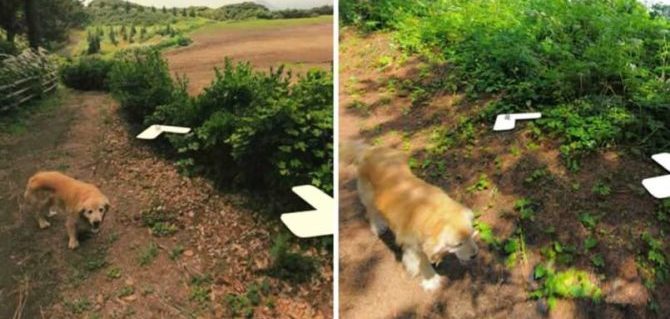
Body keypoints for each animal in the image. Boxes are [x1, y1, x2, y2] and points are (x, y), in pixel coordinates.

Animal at [344, 141, 480, 292]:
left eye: (471, 235)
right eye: (458, 244)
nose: (475, 255)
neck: (431, 211)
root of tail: (368, 150)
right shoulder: (413, 246)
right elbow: (422, 261)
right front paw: (431, 280)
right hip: (368, 196)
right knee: (371, 212)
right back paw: (378, 227)